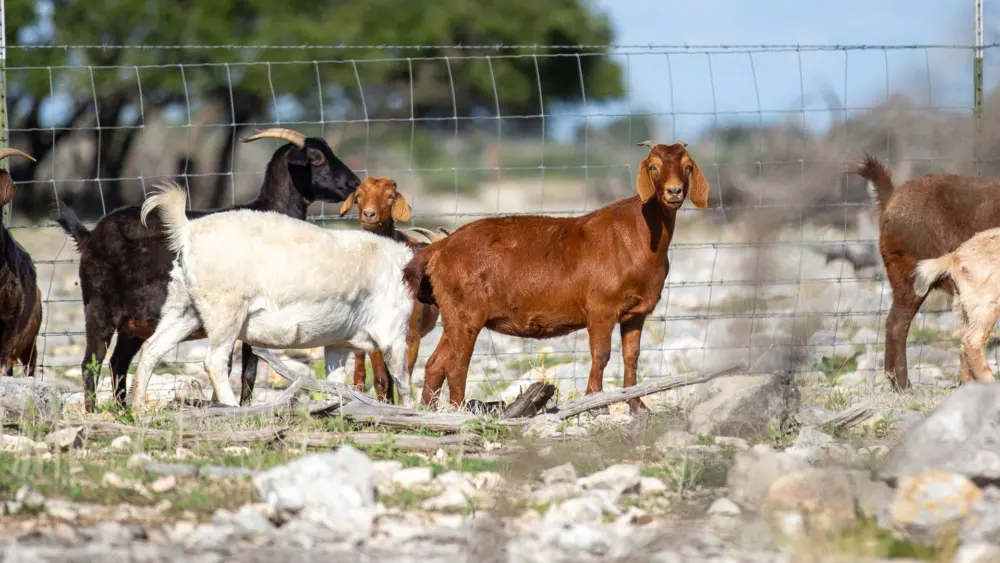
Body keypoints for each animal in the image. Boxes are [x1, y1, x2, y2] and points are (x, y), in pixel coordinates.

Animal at [55, 128, 361, 412]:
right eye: (316, 158)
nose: (354, 183)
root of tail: (89, 236)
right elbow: (245, 368)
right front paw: (235, 406)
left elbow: (242, 368)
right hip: (99, 307)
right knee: (91, 361)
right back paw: (94, 412)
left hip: (133, 323)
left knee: (119, 361)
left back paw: (122, 410)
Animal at [128, 182, 417, 412]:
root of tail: (187, 231)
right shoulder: (392, 334)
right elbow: (402, 379)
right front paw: (411, 412)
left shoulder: (338, 343)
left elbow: (336, 383)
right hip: (225, 313)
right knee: (214, 361)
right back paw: (232, 407)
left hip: (185, 310)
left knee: (151, 348)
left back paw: (140, 408)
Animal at [337, 177, 447, 403]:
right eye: (359, 194)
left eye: (390, 196)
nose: (369, 214)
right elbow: (381, 379)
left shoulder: (411, 336)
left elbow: (404, 376)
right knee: (360, 366)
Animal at [403, 140, 709, 412]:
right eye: (653, 167)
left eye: (687, 166)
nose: (674, 191)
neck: (639, 235)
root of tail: (441, 247)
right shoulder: (601, 309)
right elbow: (601, 355)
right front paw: (596, 405)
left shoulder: (636, 313)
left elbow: (632, 357)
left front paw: (637, 406)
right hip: (466, 313)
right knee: (456, 364)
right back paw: (458, 411)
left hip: (453, 313)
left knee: (435, 362)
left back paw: (428, 410)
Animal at [913, 229, 1000, 384]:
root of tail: (954, 256)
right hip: (987, 301)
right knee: (972, 341)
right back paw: (989, 381)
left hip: (965, 306)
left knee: (963, 345)